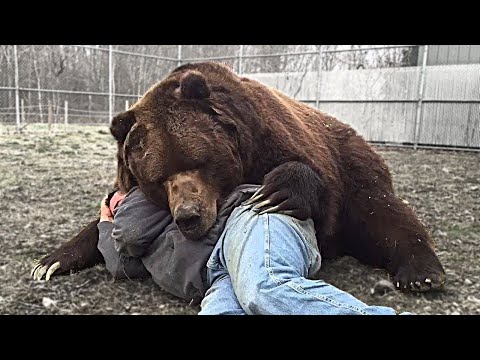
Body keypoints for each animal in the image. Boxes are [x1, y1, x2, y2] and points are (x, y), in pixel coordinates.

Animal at [33, 60, 446, 292]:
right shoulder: (128, 182)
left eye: (199, 161)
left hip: (358, 167)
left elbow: (310, 181)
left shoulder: (277, 139)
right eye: (158, 177)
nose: (189, 216)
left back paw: (421, 273)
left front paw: (277, 192)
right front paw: (49, 261)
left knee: (385, 214)